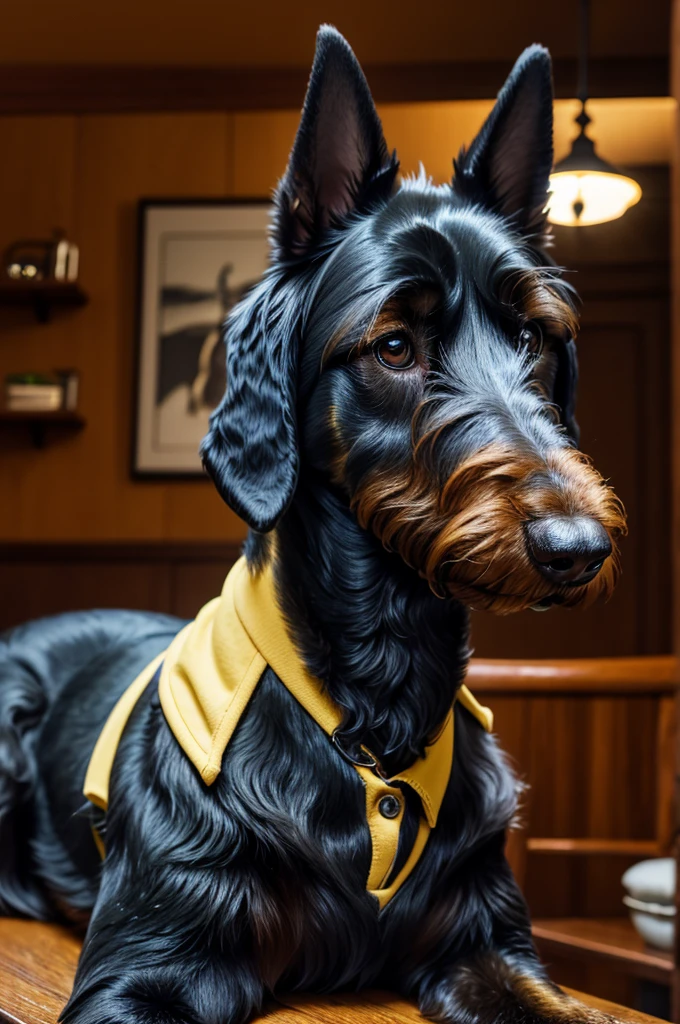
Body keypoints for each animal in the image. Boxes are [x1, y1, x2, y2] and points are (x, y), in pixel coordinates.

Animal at [0, 22, 626, 1024]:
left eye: (533, 336)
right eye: (395, 345)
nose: (579, 549)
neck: (380, 688)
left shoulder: (486, 940)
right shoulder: (146, 970)